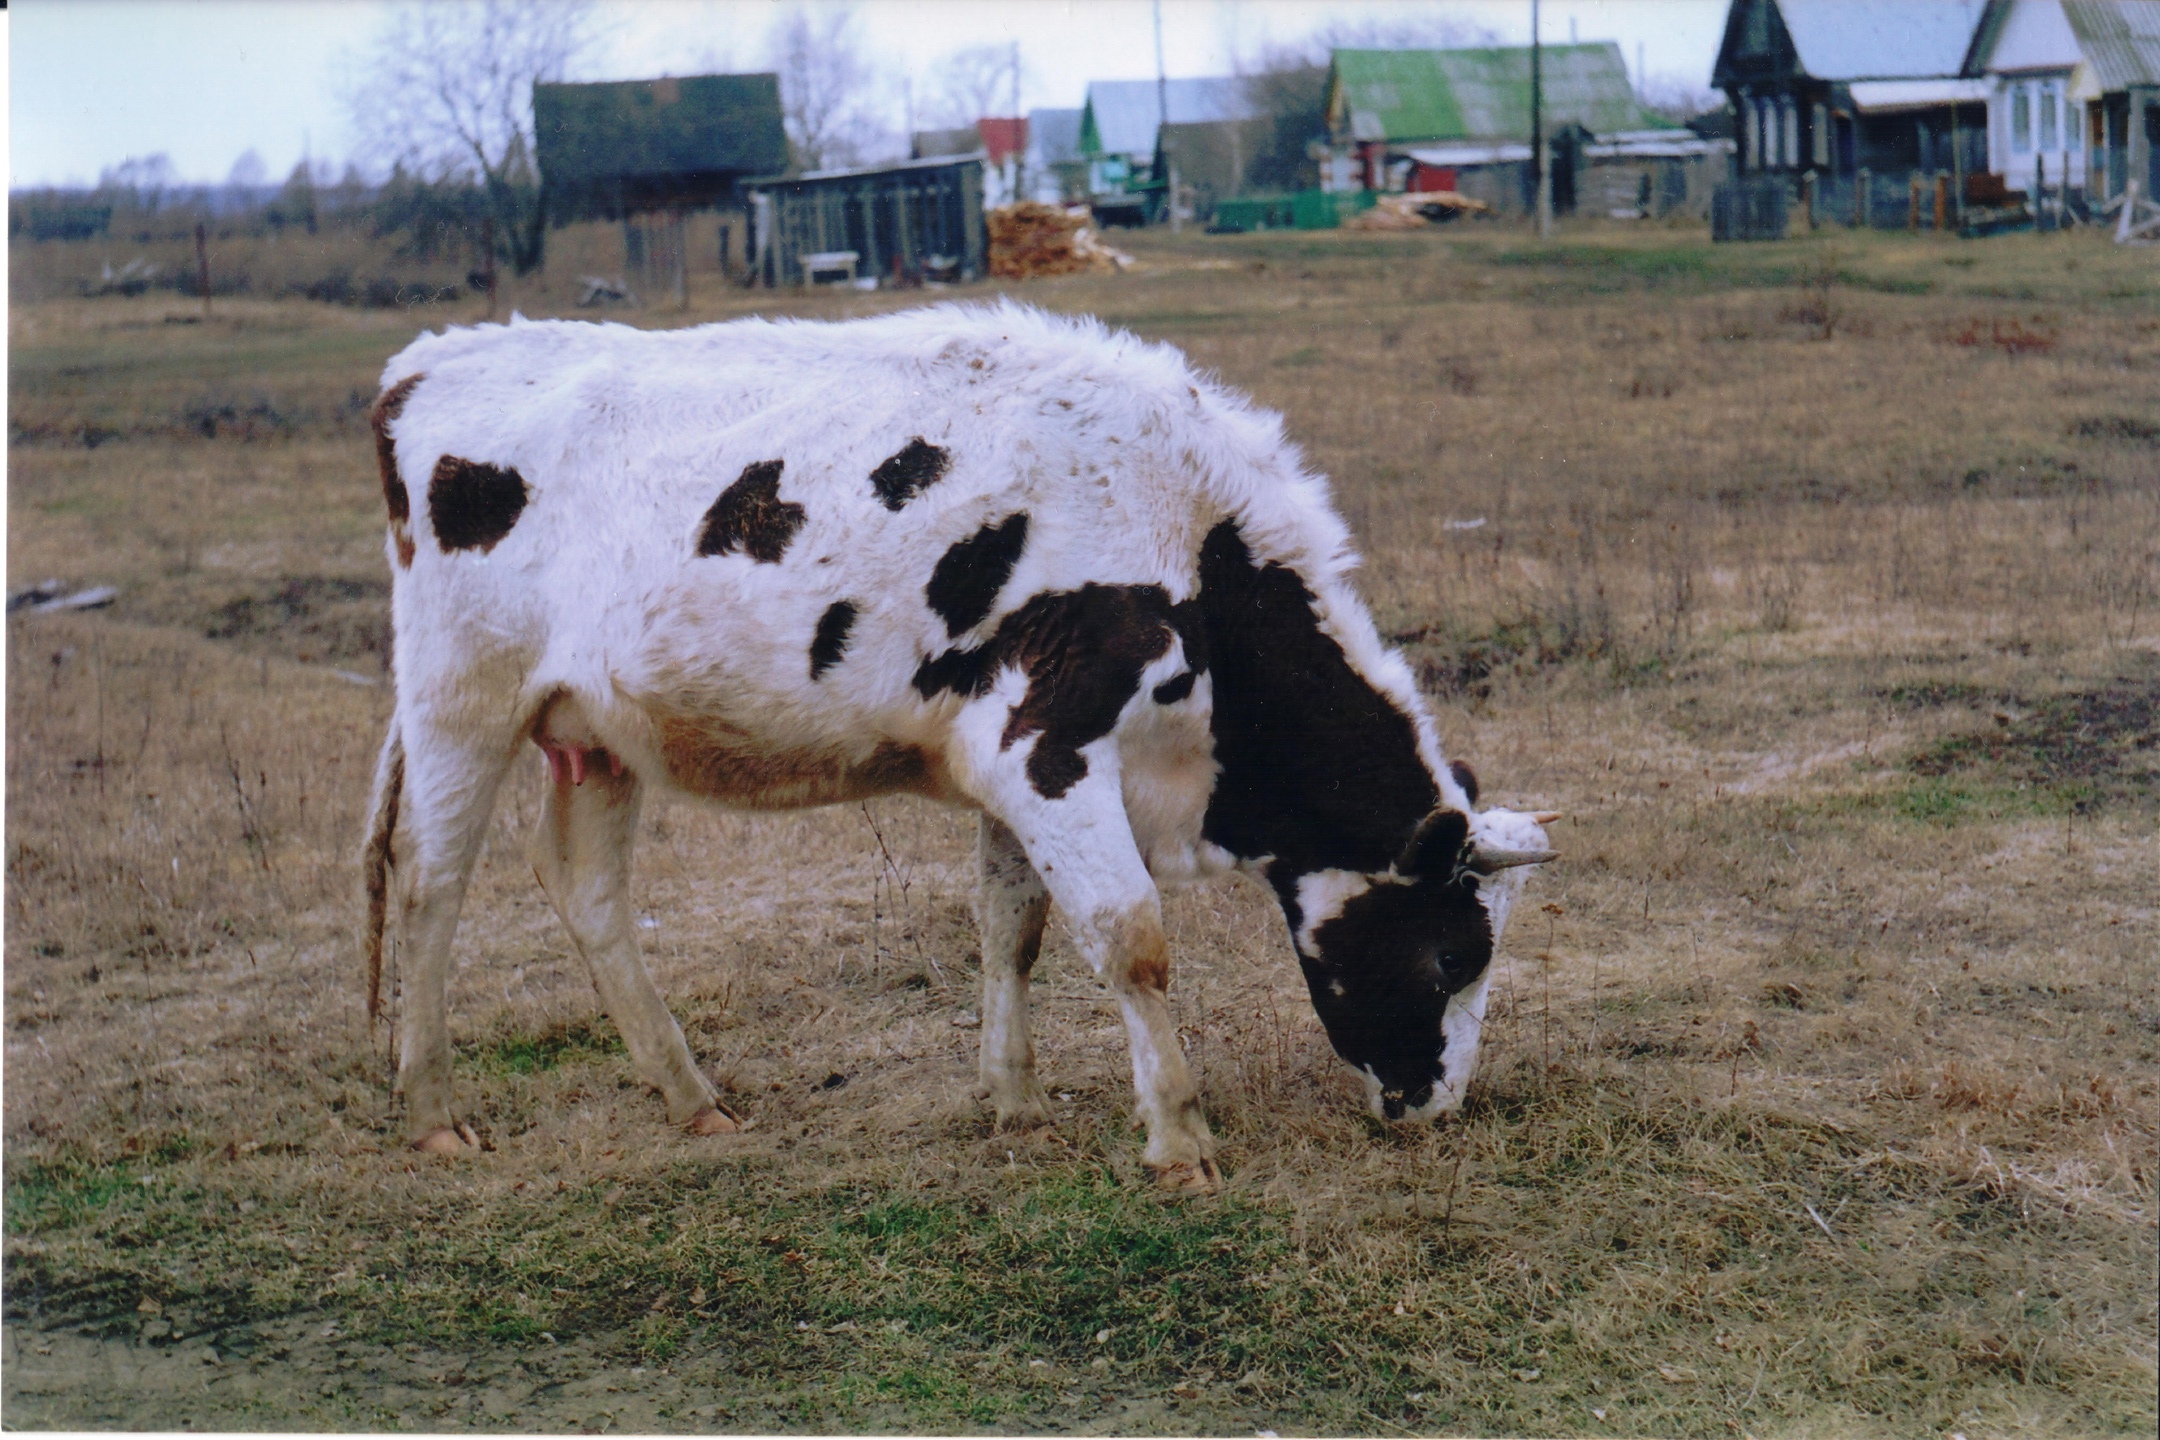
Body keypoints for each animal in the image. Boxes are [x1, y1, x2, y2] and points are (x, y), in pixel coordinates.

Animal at [367, 297, 1555, 1191]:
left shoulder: (1010, 772)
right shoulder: (1051, 751)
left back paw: (692, 1097)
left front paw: (1016, 1098)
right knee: (429, 883)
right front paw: (1179, 1136)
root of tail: (426, 364)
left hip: (600, 737)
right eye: (1456, 955)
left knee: (589, 892)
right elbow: (1132, 939)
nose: (1436, 1105)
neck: (1187, 549)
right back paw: (431, 1111)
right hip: (459, 701)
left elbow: (1011, 930)